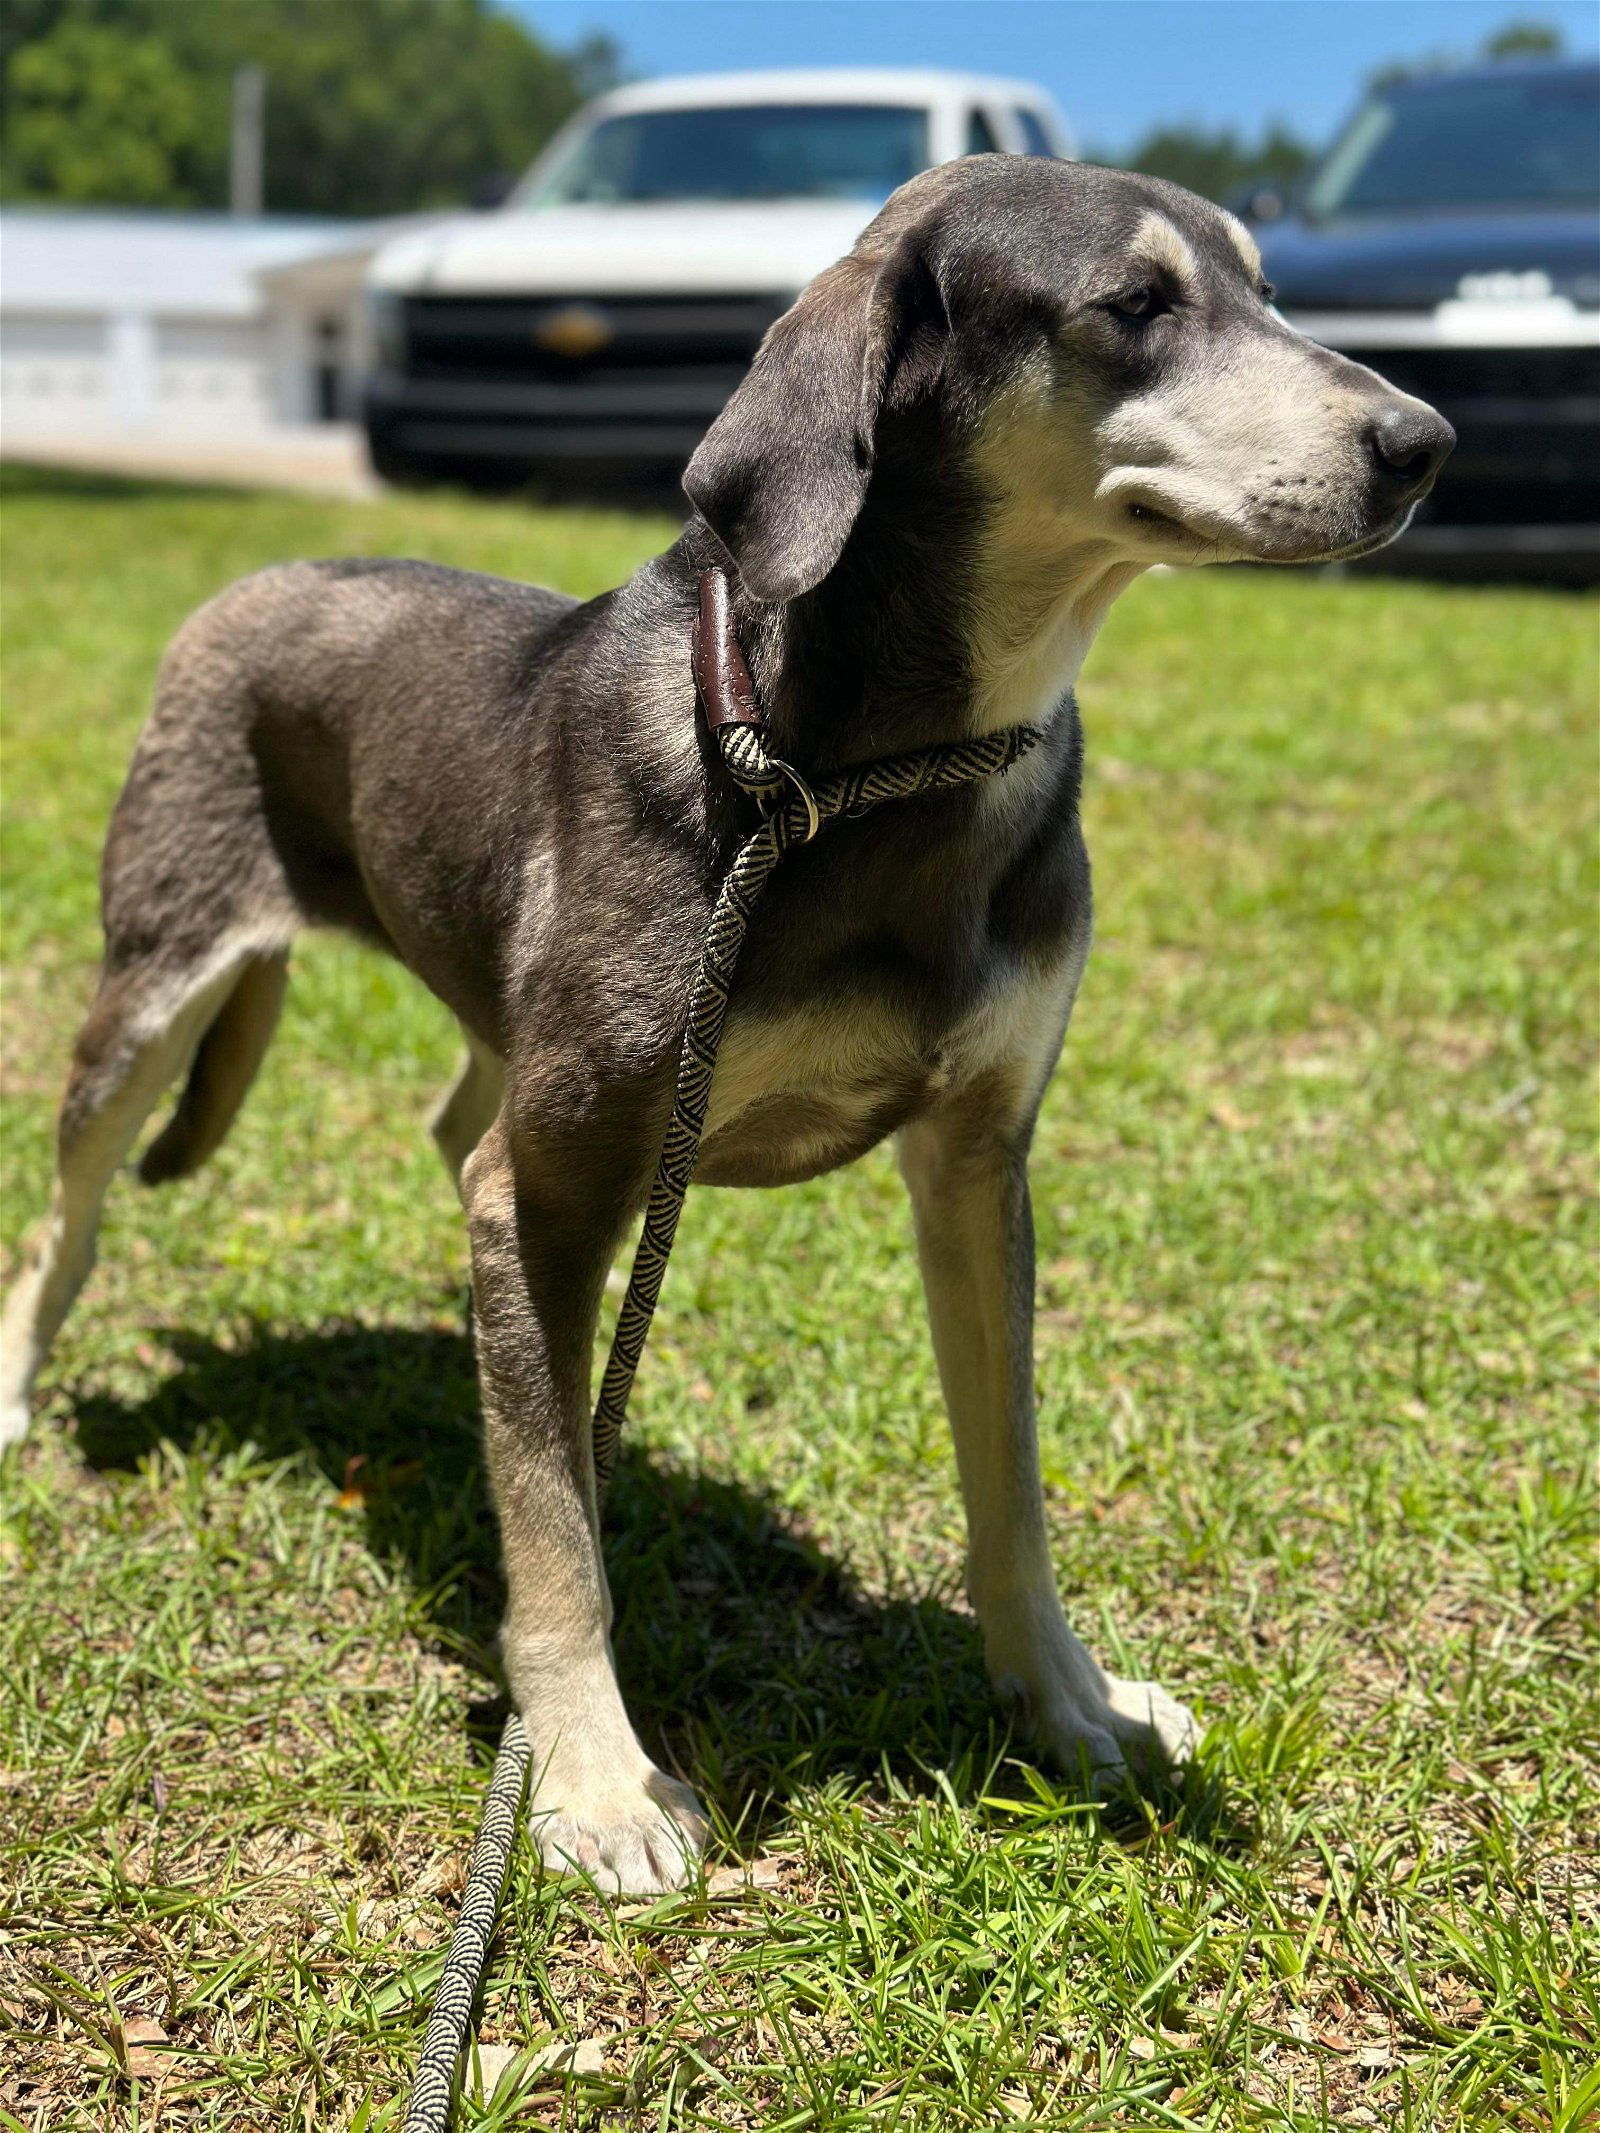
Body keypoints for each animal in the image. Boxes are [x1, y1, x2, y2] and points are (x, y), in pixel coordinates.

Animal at [0, 166, 1450, 1902]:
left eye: (1268, 291)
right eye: (1137, 306)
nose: (1427, 441)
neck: (881, 768)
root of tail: (252, 578)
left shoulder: (979, 1163)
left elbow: (1011, 1482)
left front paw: (1072, 1703)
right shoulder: (561, 1181)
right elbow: (558, 1530)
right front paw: (591, 1779)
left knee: (449, 1142)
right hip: (156, 988)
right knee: (67, 1216)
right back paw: (24, 1389)